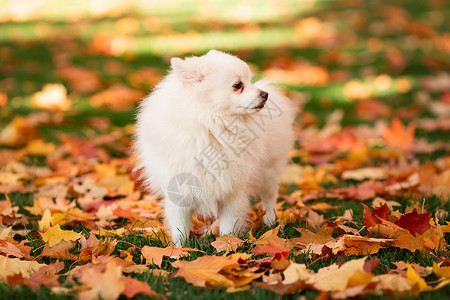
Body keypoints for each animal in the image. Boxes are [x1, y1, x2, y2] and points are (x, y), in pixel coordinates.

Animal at [134, 49, 296, 246]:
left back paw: (270, 222)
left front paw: (228, 245)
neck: (212, 126)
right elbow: (180, 228)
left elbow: (228, 226)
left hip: (268, 173)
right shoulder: (179, 192)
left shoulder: (233, 191)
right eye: (238, 85)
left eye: (250, 81)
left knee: (269, 199)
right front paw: (179, 250)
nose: (264, 94)